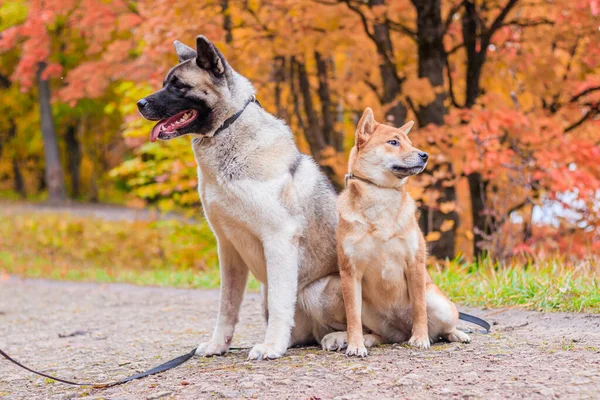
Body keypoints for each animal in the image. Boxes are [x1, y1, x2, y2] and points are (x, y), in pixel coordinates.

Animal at [134, 34, 344, 360]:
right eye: (166, 82)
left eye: (179, 86)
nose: (140, 104)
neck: (226, 130)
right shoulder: (228, 247)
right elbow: (227, 305)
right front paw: (218, 345)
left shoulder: (279, 240)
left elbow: (281, 302)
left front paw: (271, 346)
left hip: (317, 289)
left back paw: (340, 338)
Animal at [322, 107, 472, 356]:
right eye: (393, 142)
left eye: (409, 143)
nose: (424, 155)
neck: (381, 195)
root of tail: (402, 330)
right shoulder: (350, 272)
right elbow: (353, 318)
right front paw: (355, 344)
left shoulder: (414, 263)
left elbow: (419, 309)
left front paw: (420, 338)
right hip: (368, 309)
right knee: (380, 334)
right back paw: (368, 339)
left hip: (438, 303)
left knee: (444, 327)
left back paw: (454, 334)